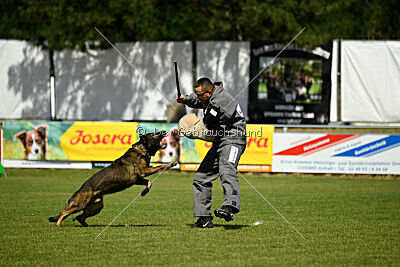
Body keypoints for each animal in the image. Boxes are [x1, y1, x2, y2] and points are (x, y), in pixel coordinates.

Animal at [48, 132, 177, 228]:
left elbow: (148, 182)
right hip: (80, 204)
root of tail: (80, 190)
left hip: (97, 207)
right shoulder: (143, 171)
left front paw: (145, 191)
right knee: (63, 213)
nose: (164, 131)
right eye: (154, 135)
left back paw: (85, 225)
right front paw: (171, 163)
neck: (142, 149)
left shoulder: (138, 179)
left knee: (79, 217)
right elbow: (160, 166)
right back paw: (58, 225)